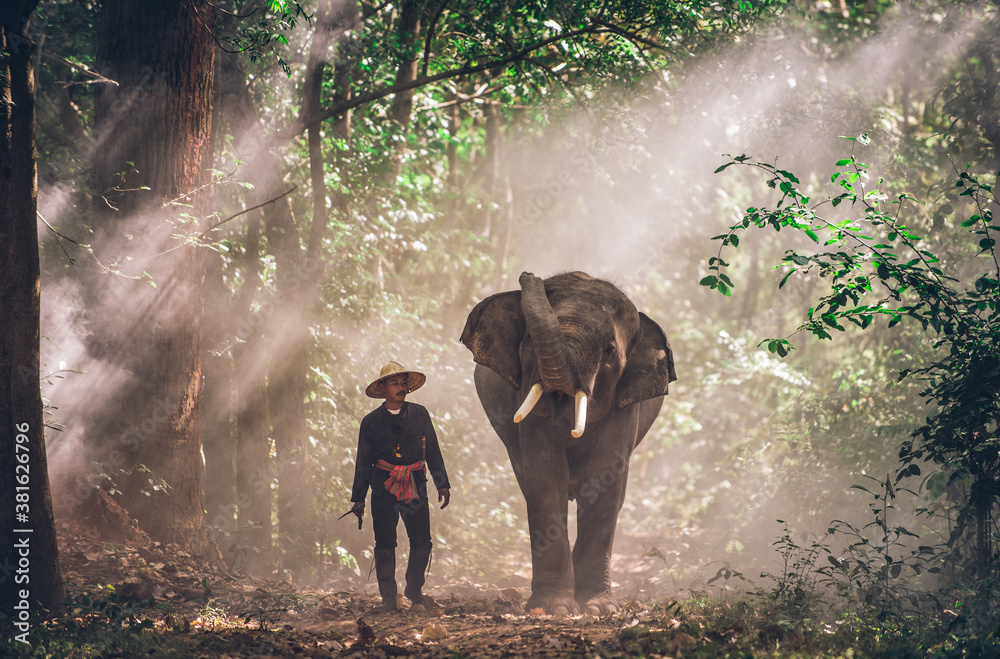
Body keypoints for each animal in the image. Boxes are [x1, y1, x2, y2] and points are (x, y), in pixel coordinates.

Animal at [460, 271, 676, 615]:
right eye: (527, 341)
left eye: (609, 351)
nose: (528, 276)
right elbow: (545, 476)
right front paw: (555, 608)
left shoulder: (624, 405)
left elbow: (604, 479)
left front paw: (599, 609)